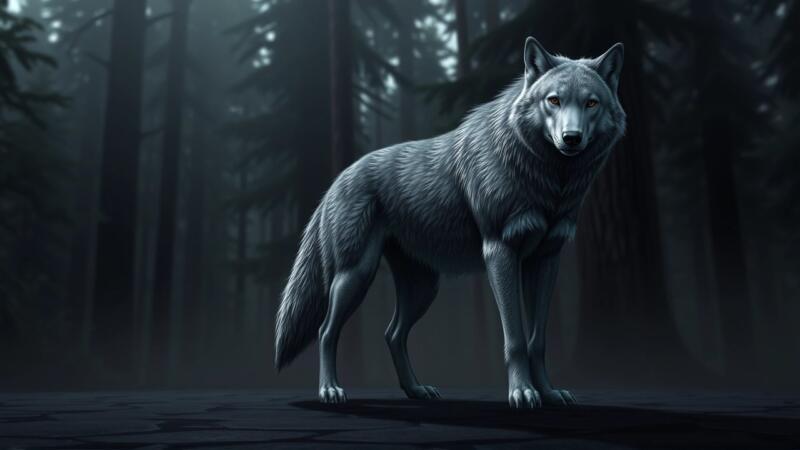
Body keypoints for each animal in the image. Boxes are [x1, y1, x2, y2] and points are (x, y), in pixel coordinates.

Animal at [274, 37, 626, 409]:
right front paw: (522, 392)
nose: (571, 138)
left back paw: (416, 390)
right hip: (355, 275)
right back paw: (330, 390)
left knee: (392, 334)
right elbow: (515, 339)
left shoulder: (546, 259)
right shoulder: (500, 252)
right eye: (554, 100)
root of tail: (336, 180)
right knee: (327, 331)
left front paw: (547, 392)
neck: (549, 179)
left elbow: (537, 341)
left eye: (591, 103)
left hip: (424, 288)